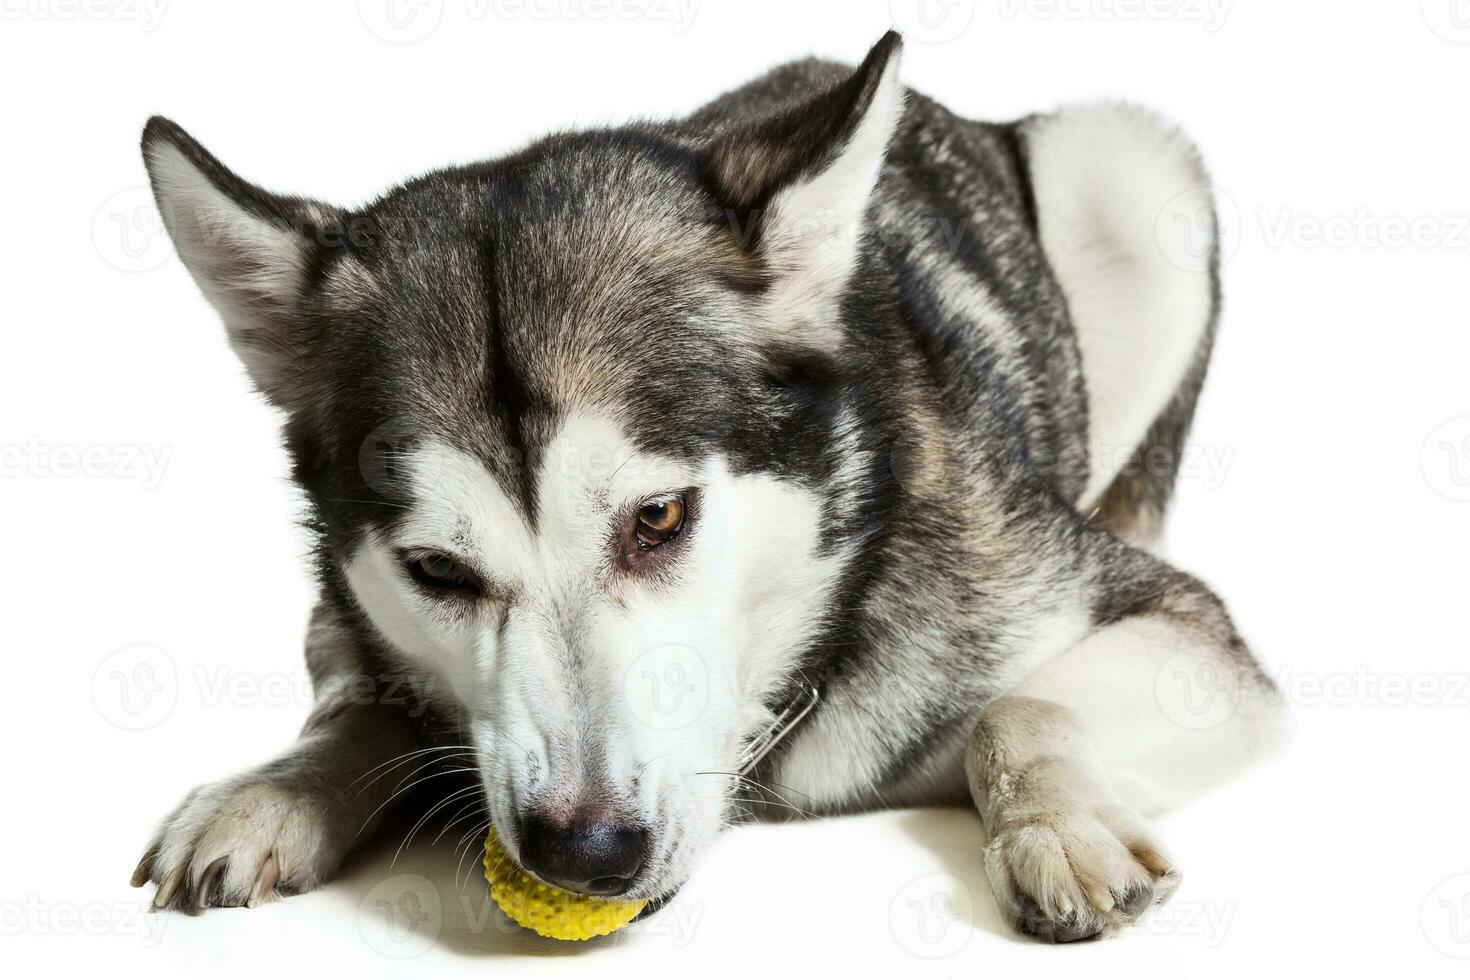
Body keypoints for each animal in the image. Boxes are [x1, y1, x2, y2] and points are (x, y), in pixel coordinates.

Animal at [135, 32, 1287, 940]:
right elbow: (352, 699)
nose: (586, 849)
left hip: (1130, 168)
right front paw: (272, 788)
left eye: (659, 517)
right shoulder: (337, 616)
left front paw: (1058, 824)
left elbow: (1024, 704)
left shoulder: (1171, 624)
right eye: (436, 570)